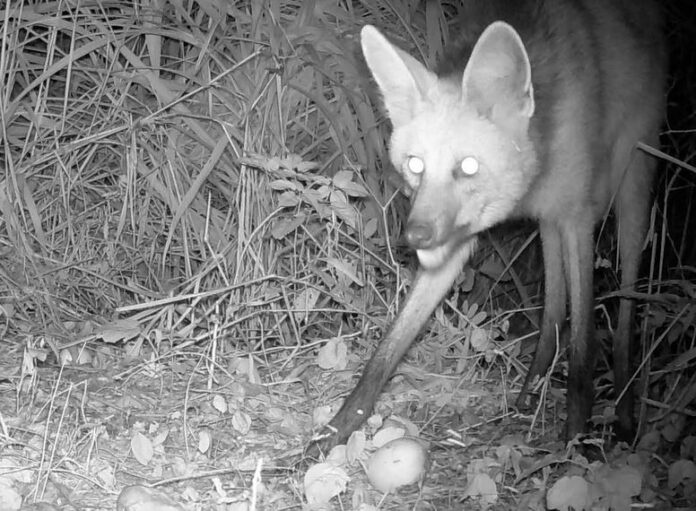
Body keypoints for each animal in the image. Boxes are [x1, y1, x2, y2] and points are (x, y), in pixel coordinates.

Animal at [313, 0, 665, 452]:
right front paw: (339, 427)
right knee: (554, 307)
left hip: (633, 184)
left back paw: (623, 410)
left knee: (624, 309)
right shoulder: (472, 236)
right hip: (555, 222)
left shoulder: (577, 216)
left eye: (467, 167)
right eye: (415, 165)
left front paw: (574, 440)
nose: (414, 235)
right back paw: (529, 390)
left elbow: (584, 346)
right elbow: (389, 347)